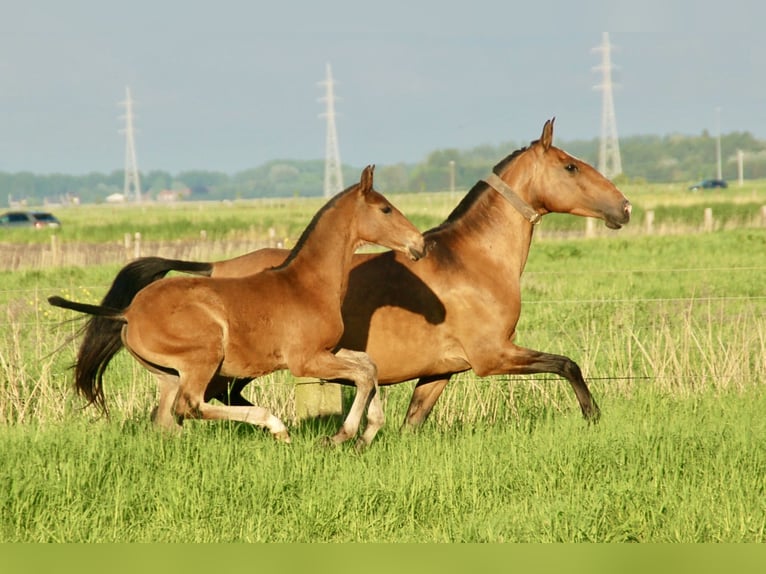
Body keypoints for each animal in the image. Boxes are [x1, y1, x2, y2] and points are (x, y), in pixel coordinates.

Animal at [49, 166, 426, 450]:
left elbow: (369, 367)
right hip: (203, 357)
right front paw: (342, 436)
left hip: (167, 375)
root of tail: (128, 312)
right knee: (191, 405)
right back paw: (276, 427)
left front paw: (368, 431)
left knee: (166, 418)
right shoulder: (306, 361)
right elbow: (363, 375)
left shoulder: (328, 350)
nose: (419, 244)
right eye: (386, 209)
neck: (308, 286)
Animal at [66, 120, 632, 432]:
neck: (473, 261)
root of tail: (212, 268)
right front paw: (593, 417)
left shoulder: (441, 372)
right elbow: (567, 365)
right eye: (571, 167)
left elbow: (411, 421)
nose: (623, 207)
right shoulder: (493, 357)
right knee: (209, 400)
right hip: (232, 363)